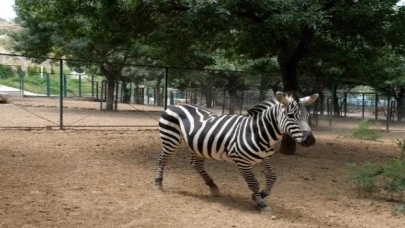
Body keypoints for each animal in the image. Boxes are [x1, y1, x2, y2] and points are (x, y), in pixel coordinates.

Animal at [155, 91, 318, 213]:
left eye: (307, 116)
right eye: (290, 116)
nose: (310, 141)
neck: (258, 132)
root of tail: (176, 105)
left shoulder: (264, 157)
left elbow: (272, 176)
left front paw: (262, 194)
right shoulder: (241, 160)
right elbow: (253, 182)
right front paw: (260, 202)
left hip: (198, 145)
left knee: (196, 163)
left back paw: (212, 185)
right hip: (170, 139)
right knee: (162, 159)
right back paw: (158, 183)